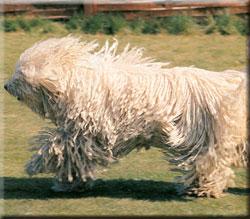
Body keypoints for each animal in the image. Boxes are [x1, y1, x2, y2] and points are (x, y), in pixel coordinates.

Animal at [4, 36, 248, 198]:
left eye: (20, 74)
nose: (6, 85)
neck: (77, 79)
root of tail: (228, 84)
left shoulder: (86, 134)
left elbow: (63, 151)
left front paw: (40, 166)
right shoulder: (80, 134)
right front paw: (69, 181)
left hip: (203, 140)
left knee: (208, 164)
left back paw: (201, 189)